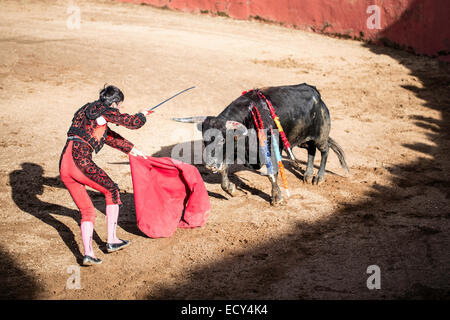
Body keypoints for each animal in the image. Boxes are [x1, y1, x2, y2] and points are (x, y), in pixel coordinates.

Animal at [172, 83, 348, 205]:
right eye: (205, 140)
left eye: (222, 139)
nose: (210, 165)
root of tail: (315, 92)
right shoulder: (232, 151)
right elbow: (224, 172)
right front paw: (232, 190)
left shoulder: (270, 150)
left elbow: (271, 173)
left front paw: (276, 197)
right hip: (301, 139)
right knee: (311, 150)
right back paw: (308, 174)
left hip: (320, 136)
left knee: (324, 150)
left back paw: (319, 177)